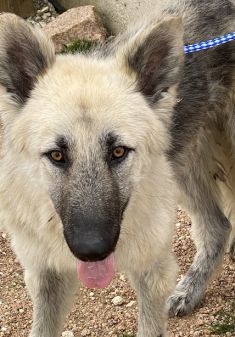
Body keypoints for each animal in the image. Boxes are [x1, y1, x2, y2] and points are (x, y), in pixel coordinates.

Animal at [0, 0, 234, 336]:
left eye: (119, 151)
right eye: (56, 155)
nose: (91, 250)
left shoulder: (151, 272)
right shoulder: (45, 274)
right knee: (218, 226)